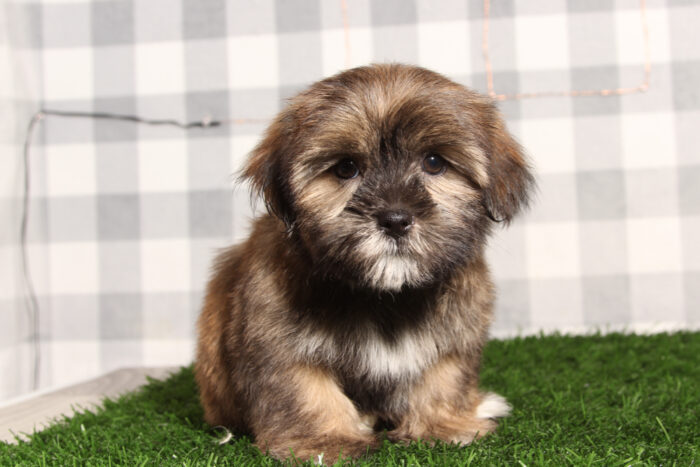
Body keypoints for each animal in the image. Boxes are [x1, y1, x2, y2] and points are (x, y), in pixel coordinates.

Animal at [194, 63, 532, 464]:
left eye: (434, 162)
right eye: (346, 168)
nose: (395, 219)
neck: (384, 296)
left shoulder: (455, 333)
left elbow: (442, 375)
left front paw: (442, 426)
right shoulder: (277, 340)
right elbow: (305, 390)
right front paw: (325, 441)